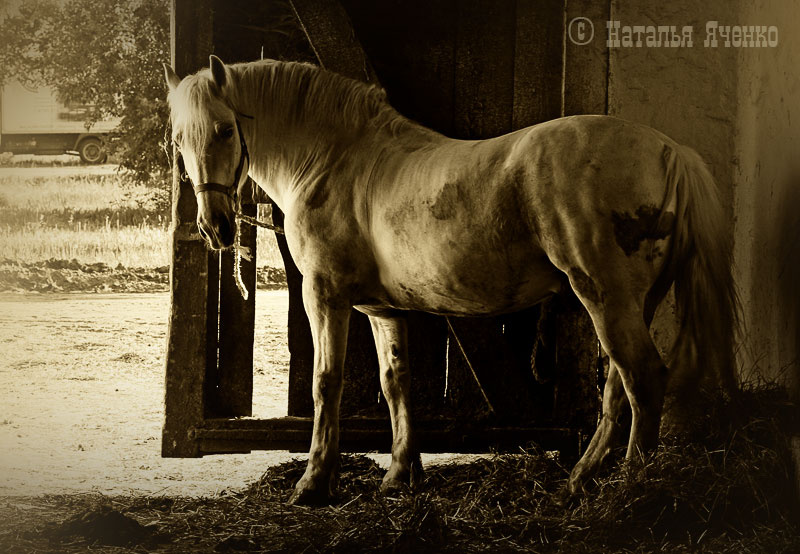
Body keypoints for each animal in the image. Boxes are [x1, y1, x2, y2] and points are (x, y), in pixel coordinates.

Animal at [164, 55, 738, 506]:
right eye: (178, 139)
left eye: (224, 130)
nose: (214, 228)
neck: (333, 162)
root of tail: (668, 150)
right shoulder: (382, 310)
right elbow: (395, 383)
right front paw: (401, 476)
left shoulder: (324, 296)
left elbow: (326, 383)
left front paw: (313, 484)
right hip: (633, 302)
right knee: (619, 385)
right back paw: (580, 478)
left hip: (606, 297)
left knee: (643, 379)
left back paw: (629, 487)